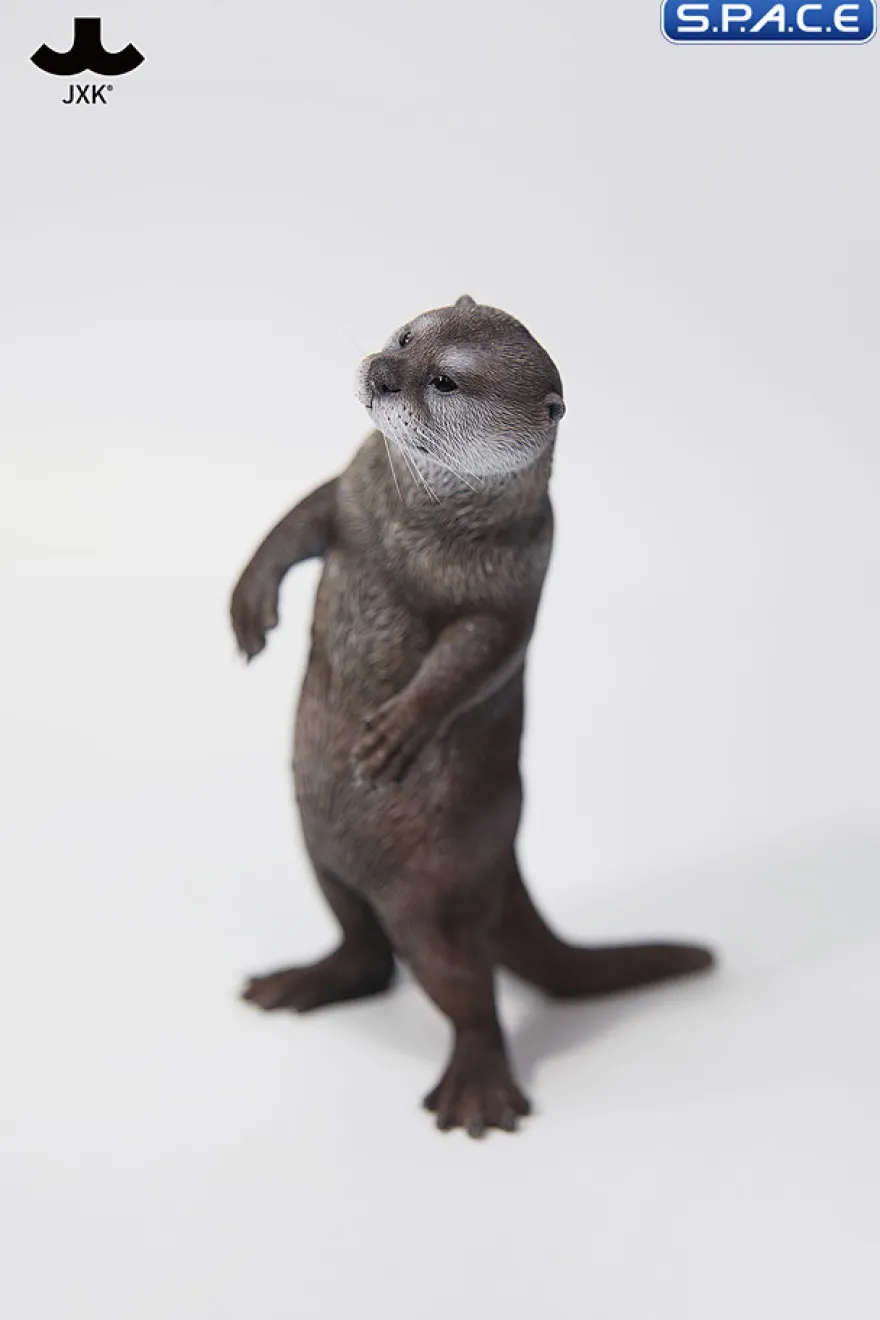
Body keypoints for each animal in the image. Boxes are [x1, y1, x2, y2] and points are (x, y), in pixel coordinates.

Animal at [230, 295, 714, 1137]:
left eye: (447, 381)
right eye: (404, 336)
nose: (382, 372)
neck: (416, 530)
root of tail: (504, 860)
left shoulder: (516, 574)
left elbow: (478, 652)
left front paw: (396, 733)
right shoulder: (353, 491)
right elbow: (297, 520)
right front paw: (249, 604)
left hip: (435, 894)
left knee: (465, 989)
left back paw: (477, 1091)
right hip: (321, 854)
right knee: (364, 948)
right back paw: (300, 982)